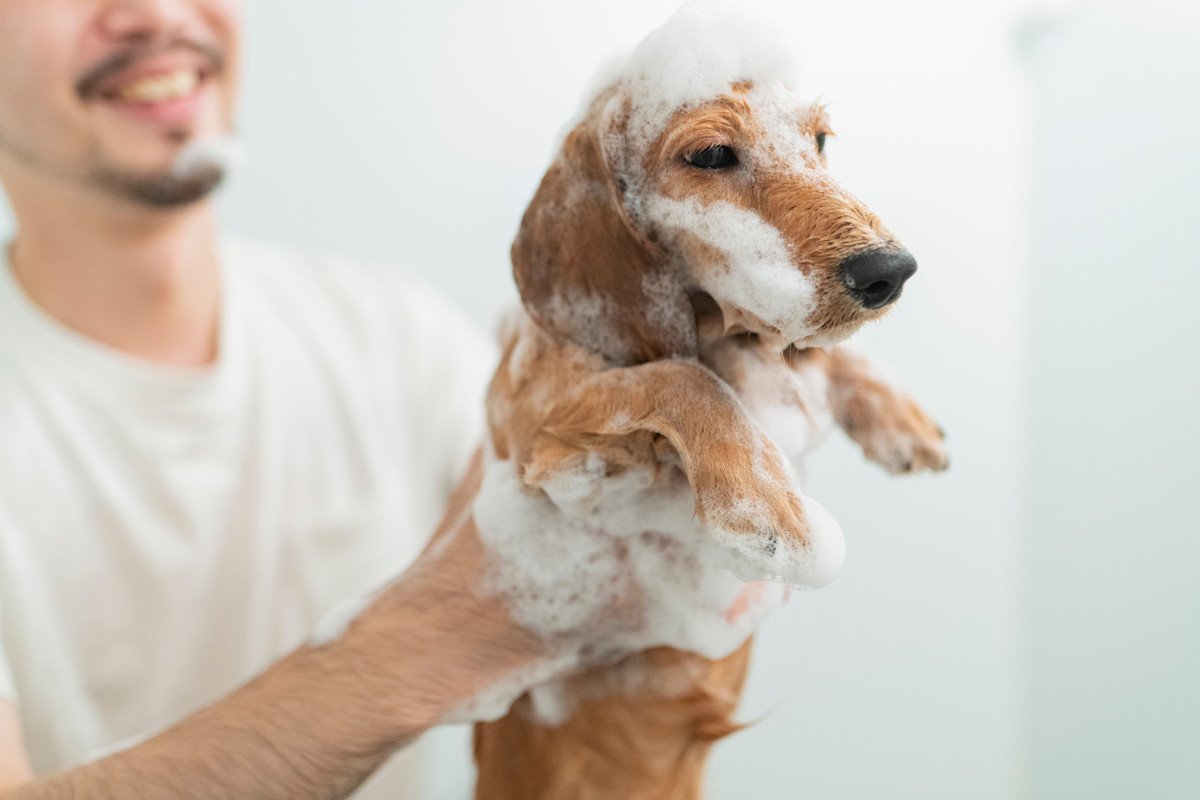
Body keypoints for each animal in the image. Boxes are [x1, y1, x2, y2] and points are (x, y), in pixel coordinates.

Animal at [463, 6, 940, 800]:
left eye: (818, 141)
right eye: (712, 154)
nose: (891, 271)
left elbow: (817, 354)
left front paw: (895, 414)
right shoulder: (531, 421)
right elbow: (684, 380)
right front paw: (769, 509)